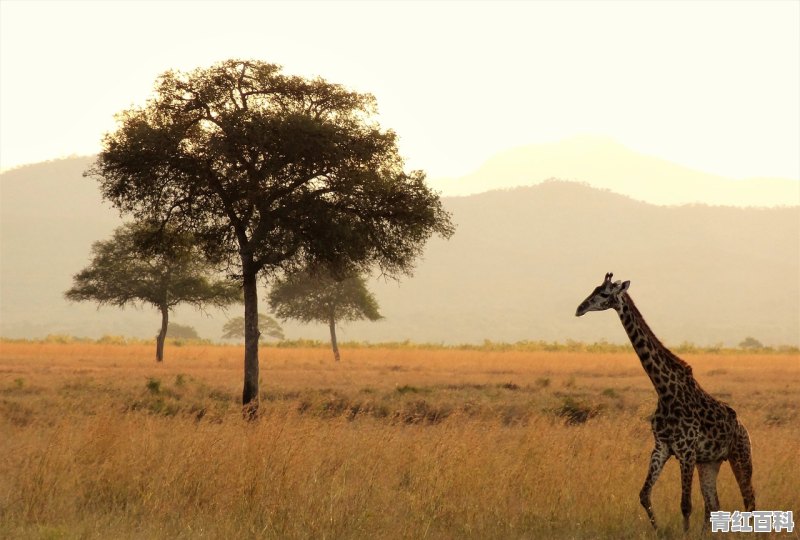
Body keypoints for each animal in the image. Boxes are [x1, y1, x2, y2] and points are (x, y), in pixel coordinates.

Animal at [576, 274, 756, 532]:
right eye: (595, 289)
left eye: (604, 293)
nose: (580, 308)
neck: (665, 391)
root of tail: (743, 426)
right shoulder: (662, 446)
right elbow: (644, 495)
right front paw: (659, 530)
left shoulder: (686, 451)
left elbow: (686, 505)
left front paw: (684, 533)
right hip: (709, 462)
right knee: (713, 504)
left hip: (741, 455)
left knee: (749, 499)